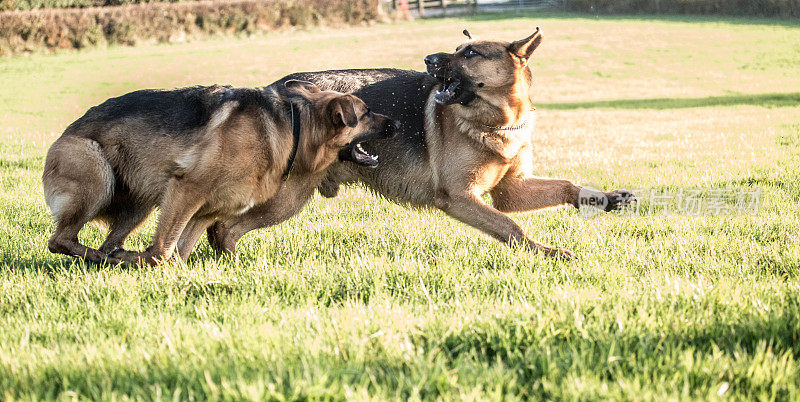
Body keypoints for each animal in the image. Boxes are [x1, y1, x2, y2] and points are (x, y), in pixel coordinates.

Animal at [42, 80, 398, 266]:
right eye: (366, 113)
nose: (397, 123)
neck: (295, 127)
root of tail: (65, 133)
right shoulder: (186, 189)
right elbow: (163, 250)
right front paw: (146, 261)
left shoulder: (204, 212)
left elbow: (180, 252)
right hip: (98, 175)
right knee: (60, 240)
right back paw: (110, 258)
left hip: (139, 205)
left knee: (103, 244)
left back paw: (111, 259)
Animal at [205, 29, 632, 260]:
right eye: (458, 50)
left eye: (470, 53)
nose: (428, 59)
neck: (496, 122)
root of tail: (275, 91)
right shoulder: (460, 198)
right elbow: (511, 227)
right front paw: (546, 254)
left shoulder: (510, 190)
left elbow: (565, 186)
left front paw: (607, 199)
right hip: (284, 196)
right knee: (222, 225)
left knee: (222, 226)